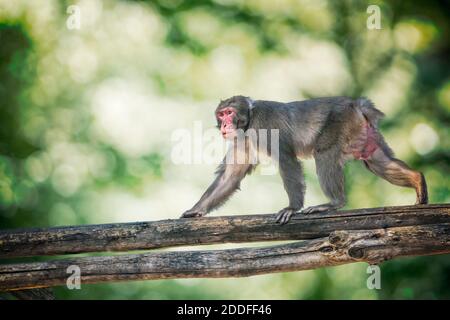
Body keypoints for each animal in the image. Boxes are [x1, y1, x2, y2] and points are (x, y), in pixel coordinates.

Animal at [180, 96, 428, 224]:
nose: (224, 124)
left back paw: (333, 203)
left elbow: (286, 160)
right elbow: (231, 176)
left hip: (341, 121)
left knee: (324, 153)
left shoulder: (265, 126)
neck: (248, 121)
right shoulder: (242, 140)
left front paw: (292, 207)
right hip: (362, 131)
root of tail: (357, 104)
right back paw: (417, 180)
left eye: (229, 113)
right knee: (375, 159)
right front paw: (196, 209)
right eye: (221, 114)